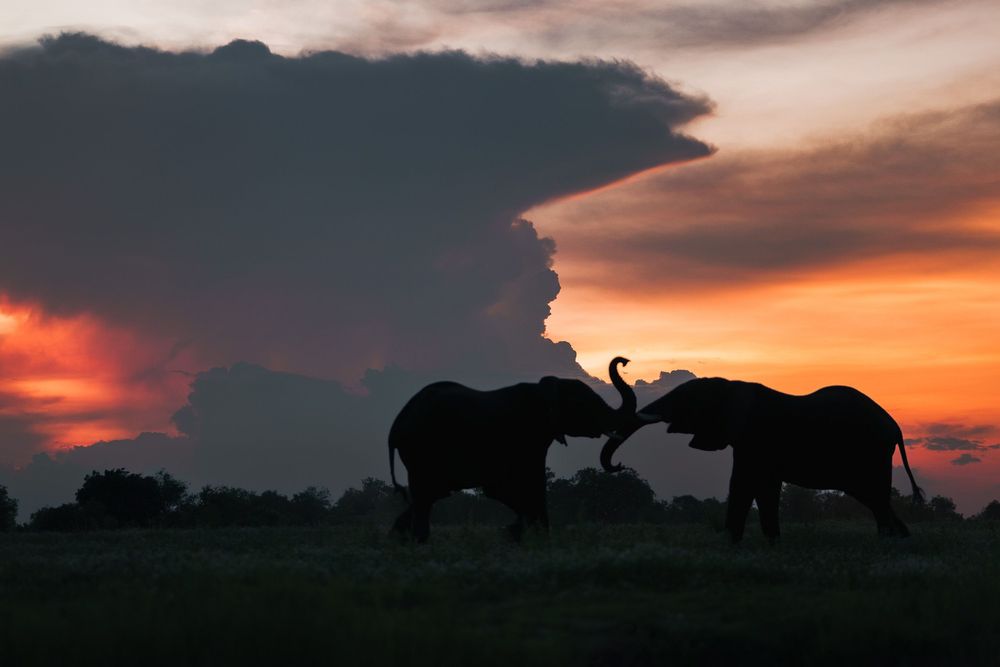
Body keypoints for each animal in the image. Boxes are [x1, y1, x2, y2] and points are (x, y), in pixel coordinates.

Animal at [389, 357, 636, 542]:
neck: (545, 389)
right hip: (422, 448)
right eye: (586, 405)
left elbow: (509, 486)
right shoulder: (524, 435)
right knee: (426, 495)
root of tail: (396, 424)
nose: (624, 361)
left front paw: (518, 533)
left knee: (431, 494)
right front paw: (527, 535)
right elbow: (517, 484)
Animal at [600, 377, 924, 542]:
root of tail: (896, 427)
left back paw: (888, 542)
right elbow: (762, 487)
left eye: (686, 400)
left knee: (874, 495)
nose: (617, 466)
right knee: (873, 496)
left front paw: (732, 545)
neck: (730, 385)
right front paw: (771, 543)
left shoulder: (753, 437)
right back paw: (900, 541)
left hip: (870, 451)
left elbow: (745, 484)